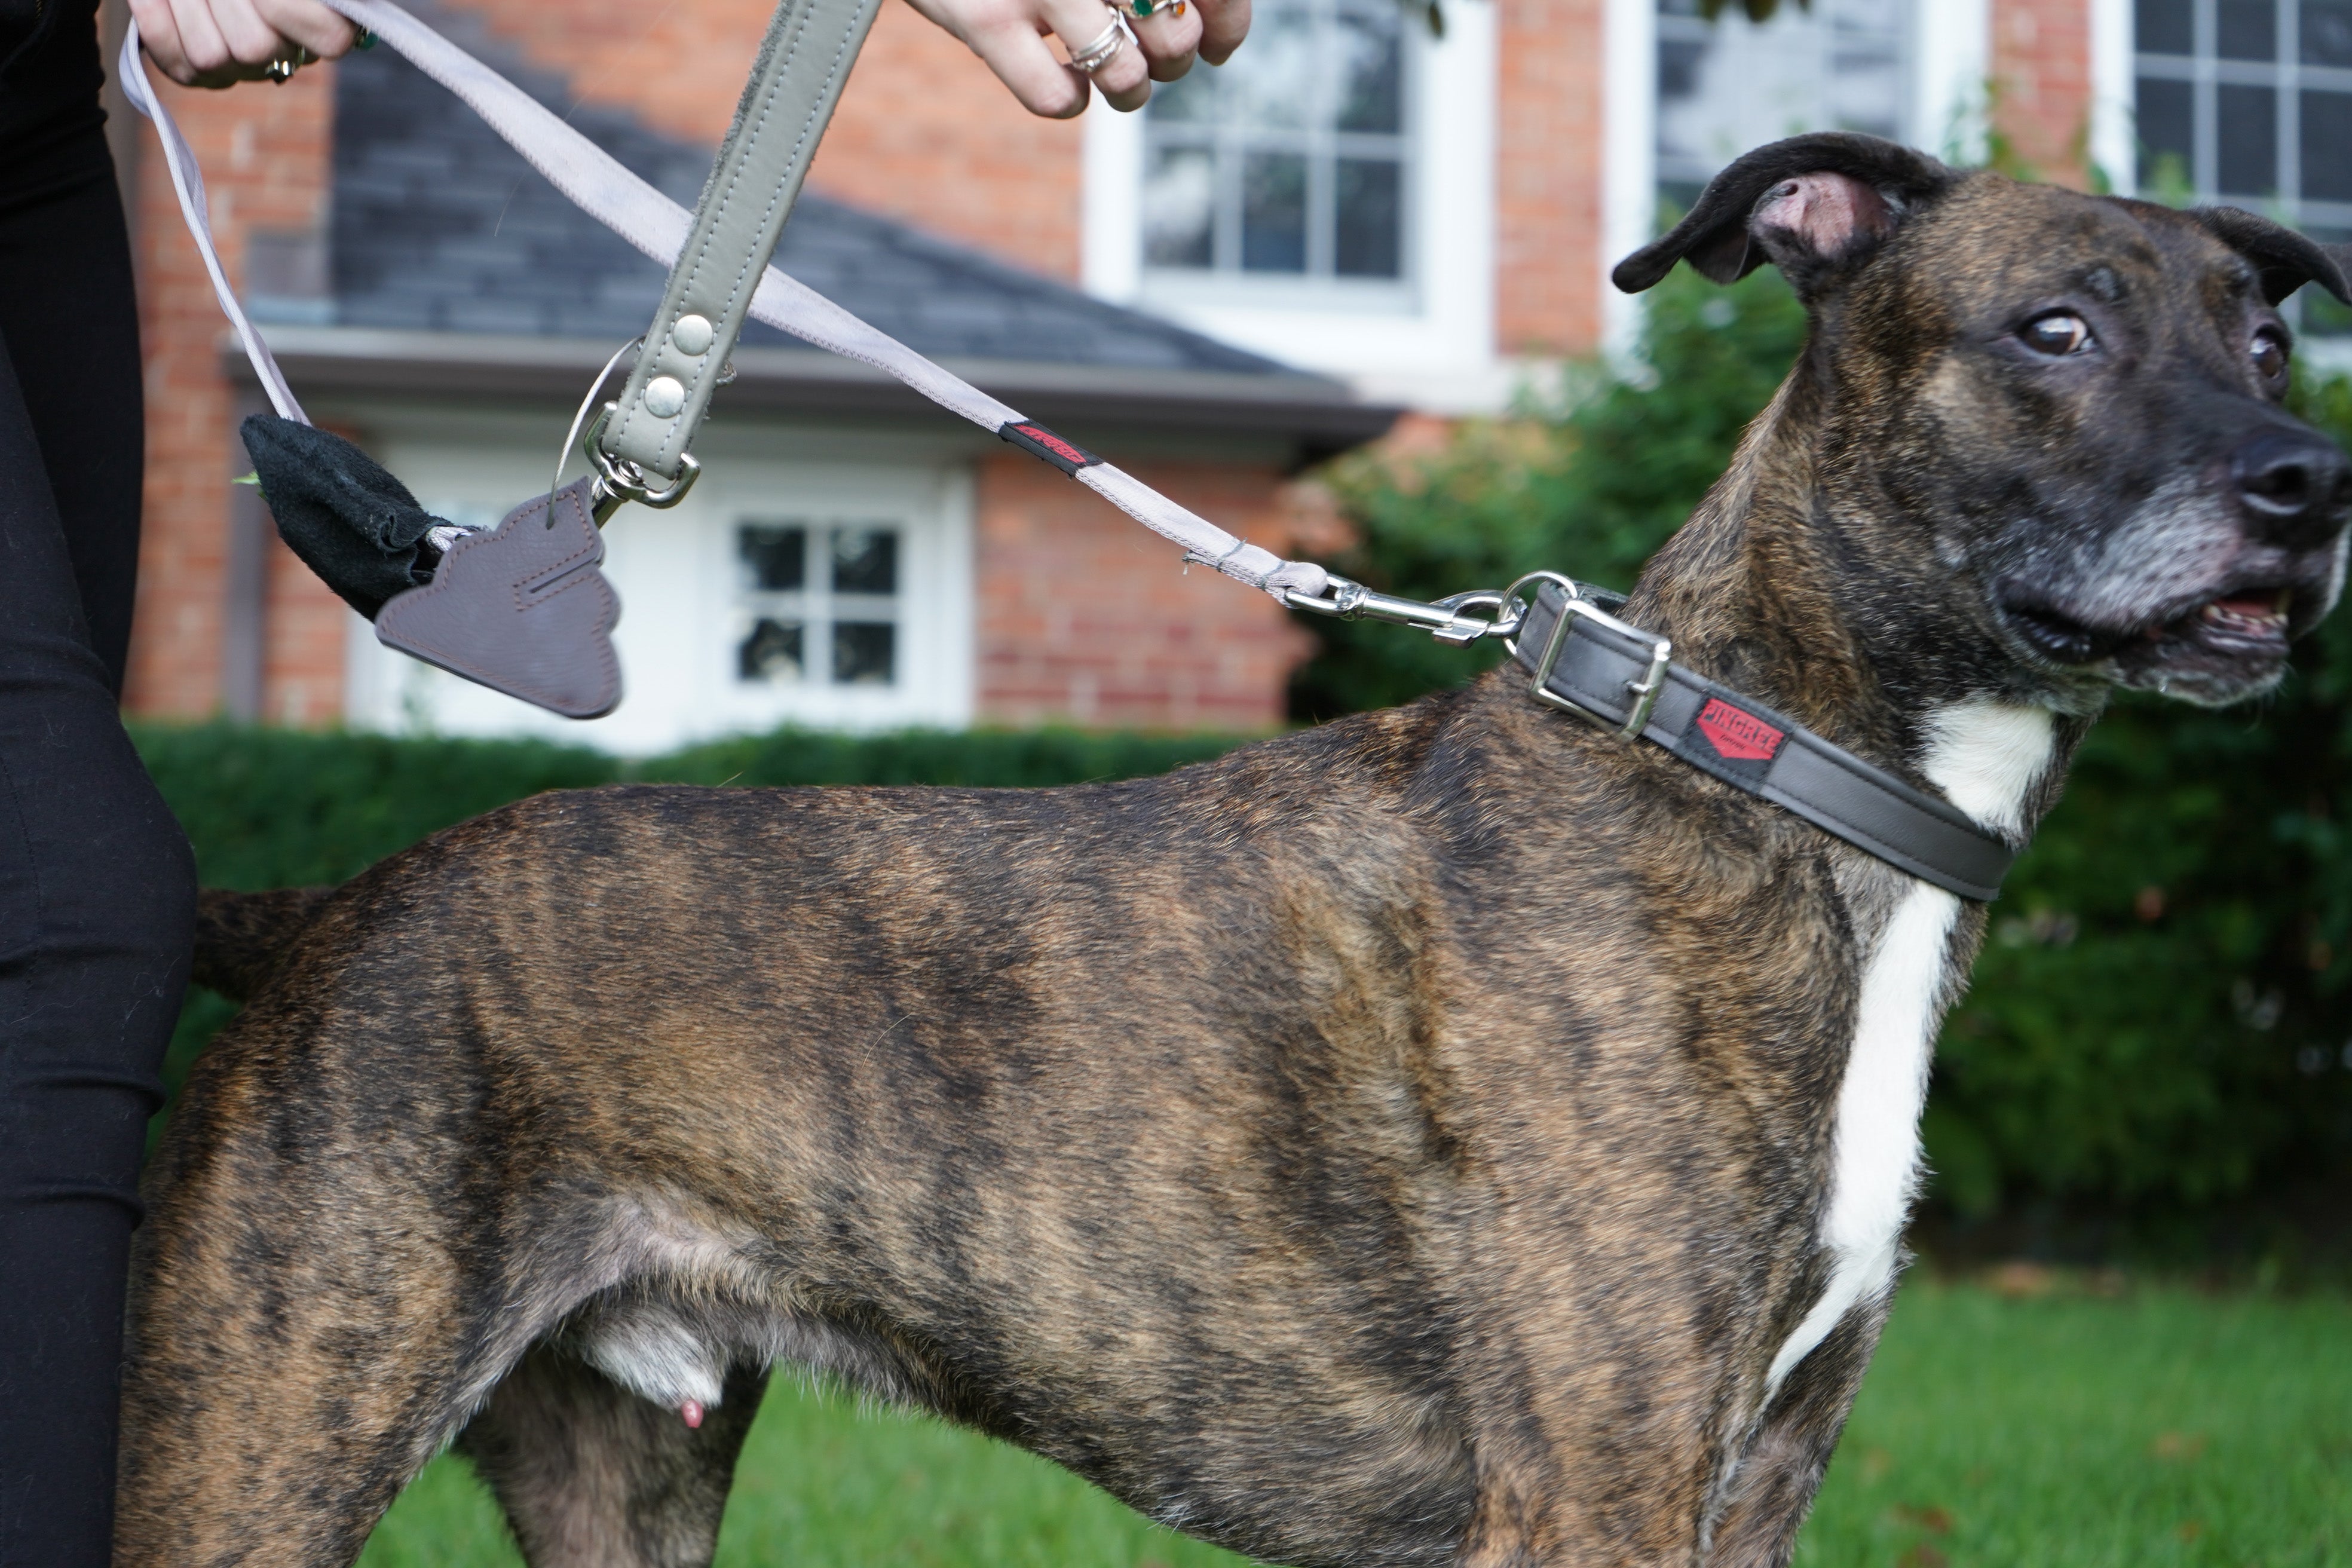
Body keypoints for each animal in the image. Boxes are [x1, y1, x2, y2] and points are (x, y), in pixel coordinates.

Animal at [124, 138, 2352, 1568]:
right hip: (260, 1433)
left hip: (618, 1473)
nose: (2308, 483)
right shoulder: (1602, 1483)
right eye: (2051, 330)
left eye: (2267, 341)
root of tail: (334, 906)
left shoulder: (1756, 1483)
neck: (1765, 767)